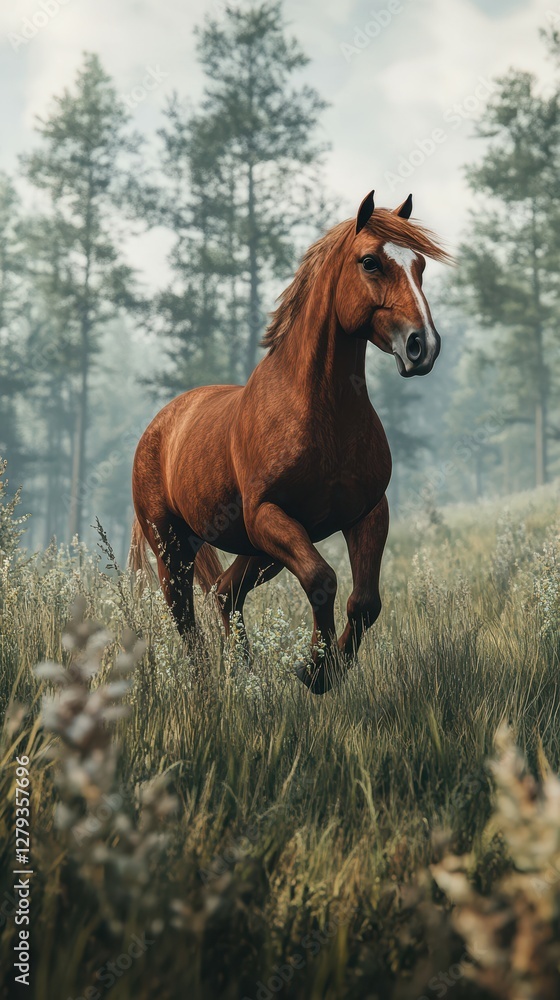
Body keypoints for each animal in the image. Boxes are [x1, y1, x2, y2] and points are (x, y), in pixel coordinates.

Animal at [129, 190, 450, 694]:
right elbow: (322, 579)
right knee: (186, 617)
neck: (321, 410)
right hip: (175, 546)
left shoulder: (367, 514)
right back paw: (208, 685)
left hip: (259, 553)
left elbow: (366, 602)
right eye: (370, 262)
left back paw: (246, 679)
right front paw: (314, 669)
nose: (423, 346)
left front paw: (326, 668)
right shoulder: (270, 515)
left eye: (419, 265)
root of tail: (159, 425)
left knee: (226, 594)